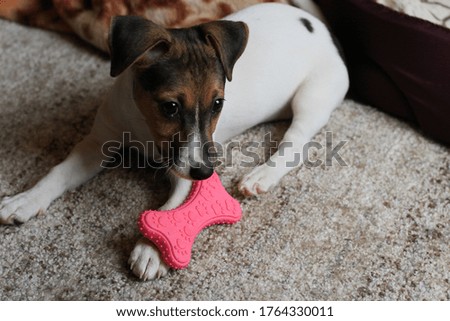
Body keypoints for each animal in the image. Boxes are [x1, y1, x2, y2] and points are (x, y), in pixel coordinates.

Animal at [0, 1, 348, 280]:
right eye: (170, 107)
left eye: (218, 104)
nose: (207, 173)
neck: (142, 127)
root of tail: (319, 27)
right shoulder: (98, 143)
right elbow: (58, 173)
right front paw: (26, 199)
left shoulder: (187, 169)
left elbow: (173, 206)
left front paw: (152, 250)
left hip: (314, 95)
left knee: (296, 143)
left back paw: (261, 175)